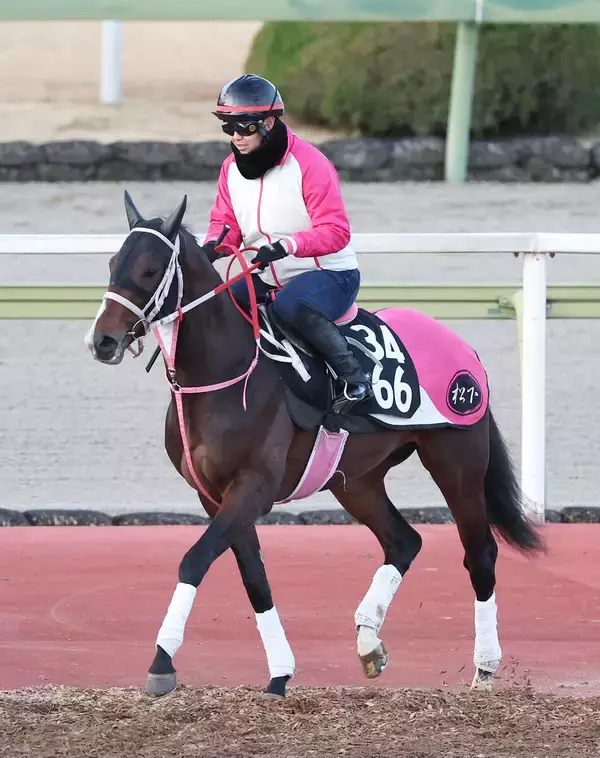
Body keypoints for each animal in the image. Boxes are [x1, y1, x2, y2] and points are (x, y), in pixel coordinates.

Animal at [85, 191, 544, 699]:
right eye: (113, 263)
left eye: (150, 269)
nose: (102, 340)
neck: (223, 372)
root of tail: (463, 347)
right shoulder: (215, 495)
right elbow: (254, 579)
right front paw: (279, 673)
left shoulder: (253, 489)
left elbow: (193, 561)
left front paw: (162, 661)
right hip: (355, 480)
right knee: (404, 541)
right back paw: (369, 643)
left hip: (457, 461)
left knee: (479, 552)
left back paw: (484, 669)